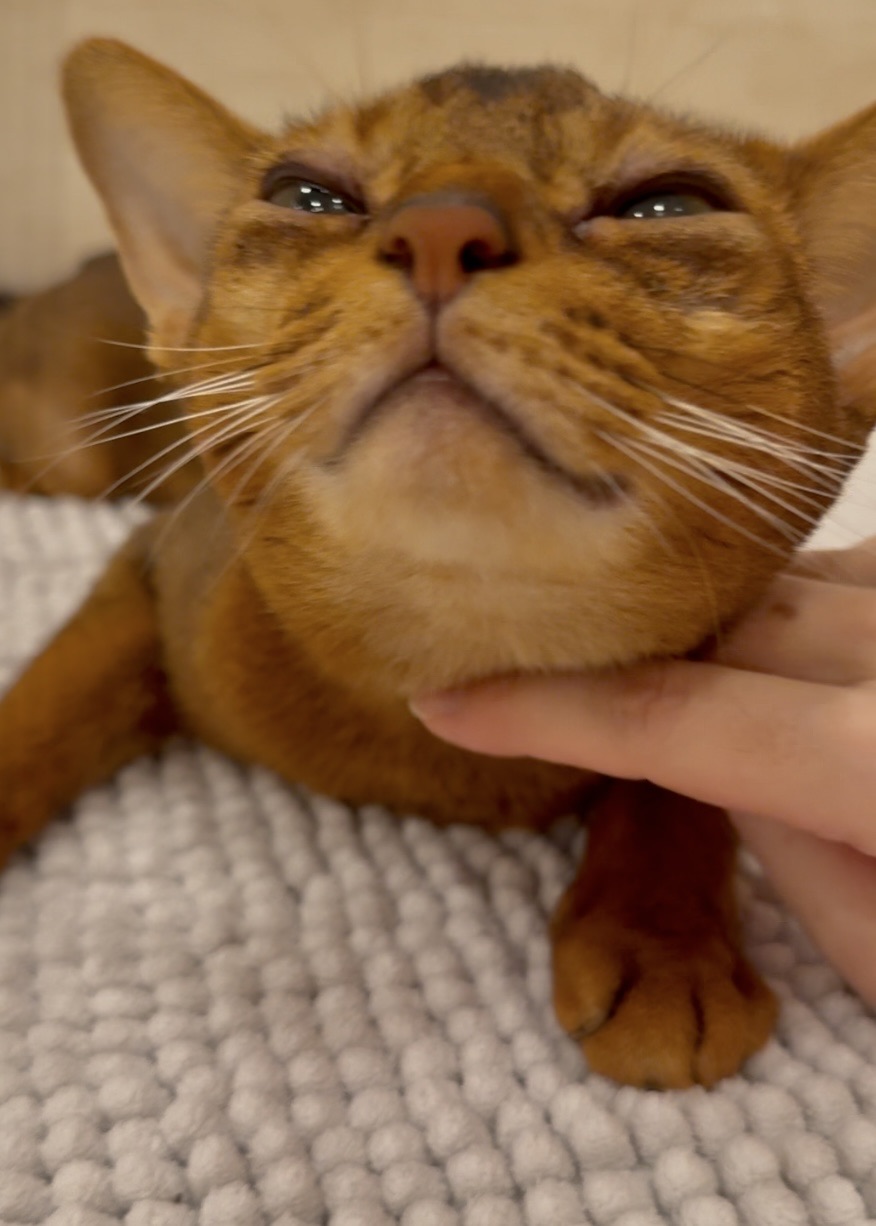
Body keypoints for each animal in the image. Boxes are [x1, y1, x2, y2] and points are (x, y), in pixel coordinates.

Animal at [1, 37, 875, 1089]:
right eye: (307, 194)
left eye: (668, 205)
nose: (439, 230)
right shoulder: (152, 565)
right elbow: (40, 712)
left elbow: (681, 779)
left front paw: (666, 946)